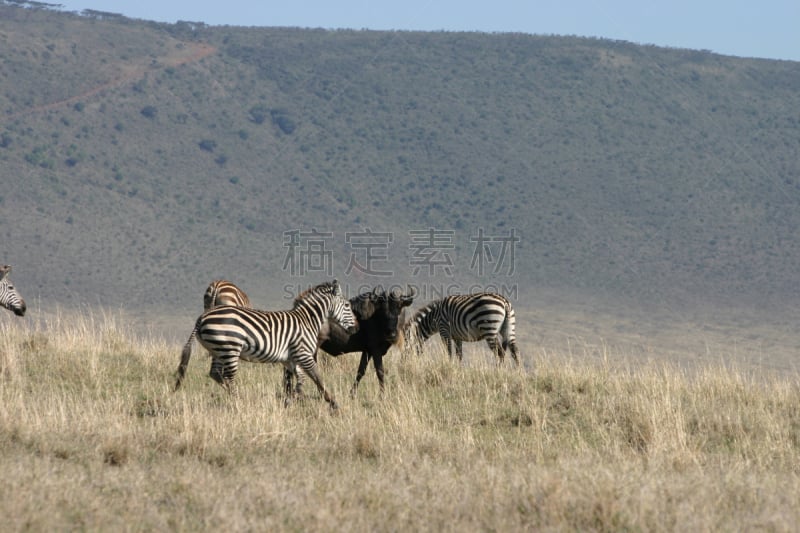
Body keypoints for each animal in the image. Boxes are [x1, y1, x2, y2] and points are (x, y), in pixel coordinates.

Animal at [175, 278, 356, 408]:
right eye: (347, 305)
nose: (356, 327)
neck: (307, 321)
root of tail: (202, 317)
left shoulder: (290, 358)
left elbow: (299, 379)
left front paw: (292, 400)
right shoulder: (304, 354)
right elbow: (317, 378)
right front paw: (333, 403)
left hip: (219, 349)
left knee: (216, 374)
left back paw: (240, 400)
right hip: (230, 348)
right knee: (228, 377)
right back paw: (240, 403)